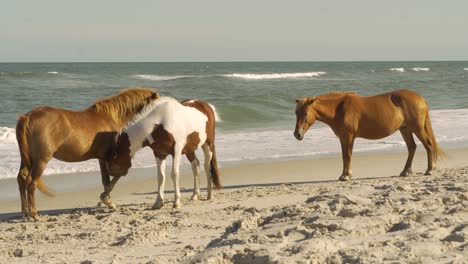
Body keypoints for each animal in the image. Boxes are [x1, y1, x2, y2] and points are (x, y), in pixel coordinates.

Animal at [16, 87, 159, 218]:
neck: (112, 117)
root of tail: (27, 116)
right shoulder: (107, 157)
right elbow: (110, 179)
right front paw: (107, 201)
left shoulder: (102, 158)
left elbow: (107, 180)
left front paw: (106, 200)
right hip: (41, 160)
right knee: (31, 182)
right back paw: (34, 213)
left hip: (26, 158)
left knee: (21, 178)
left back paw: (25, 212)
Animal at [294, 89, 444, 180]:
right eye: (296, 113)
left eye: (305, 113)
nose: (297, 134)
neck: (339, 109)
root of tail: (420, 98)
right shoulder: (343, 138)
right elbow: (344, 156)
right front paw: (343, 175)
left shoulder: (349, 136)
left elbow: (348, 155)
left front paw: (347, 176)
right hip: (405, 129)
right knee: (412, 147)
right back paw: (406, 171)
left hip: (416, 128)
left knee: (428, 145)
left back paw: (430, 169)